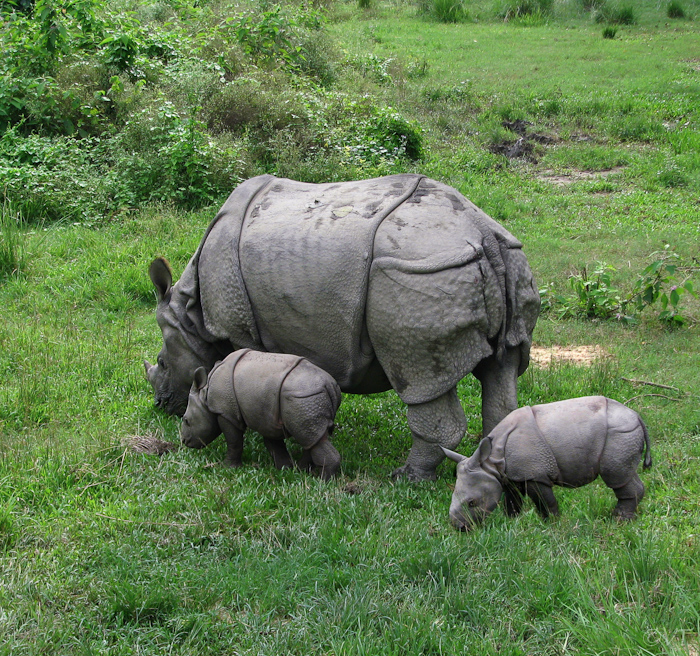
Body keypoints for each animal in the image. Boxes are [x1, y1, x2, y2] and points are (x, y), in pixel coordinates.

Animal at [182, 348, 344, 482]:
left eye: (186, 421)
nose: (185, 441)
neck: (205, 395)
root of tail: (331, 385)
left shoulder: (227, 413)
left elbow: (234, 440)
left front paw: (228, 467)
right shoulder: (266, 416)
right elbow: (273, 444)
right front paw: (284, 468)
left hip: (305, 397)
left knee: (308, 436)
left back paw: (322, 482)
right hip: (307, 399)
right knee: (312, 438)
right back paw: (301, 470)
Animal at [442, 398, 652, 532]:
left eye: (472, 502)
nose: (460, 528)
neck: (491, 461)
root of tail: (636, 415)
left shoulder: (535, 474)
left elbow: (545, 501)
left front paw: (552, 524)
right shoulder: (508, 476)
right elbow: (512, 501)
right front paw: (512, 522)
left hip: (620, 433)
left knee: (617, 478)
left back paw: (619, 521)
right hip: (623, 433)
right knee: (626, 475)